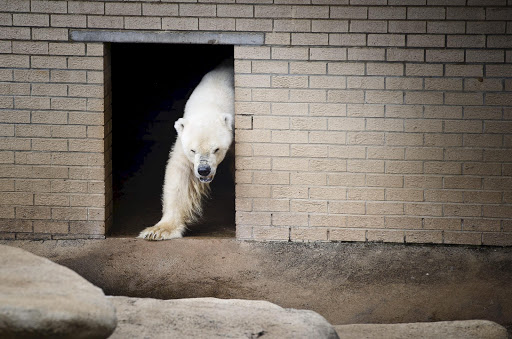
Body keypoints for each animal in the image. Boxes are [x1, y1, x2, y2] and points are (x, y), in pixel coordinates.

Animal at [140, 61, 236, 242]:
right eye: (193, 150)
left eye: (216, 149)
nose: (204, 170)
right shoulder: (183, 139)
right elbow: (180, 174)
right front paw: (158, 230)